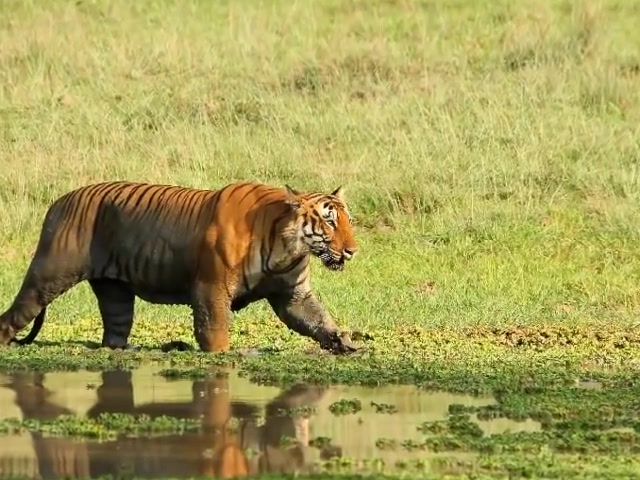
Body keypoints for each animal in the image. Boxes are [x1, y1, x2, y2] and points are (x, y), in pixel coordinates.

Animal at [0, 180, 360, 354]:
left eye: (348, 222)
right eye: (329, 222)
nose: (353, 251)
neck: (287, 247)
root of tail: (57, 201)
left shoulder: (293, 295)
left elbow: (317, 319)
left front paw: (344, 342)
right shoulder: (211, 289)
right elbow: (214, 329)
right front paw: (222, 356)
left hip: (115, 293)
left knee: (115, 328)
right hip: (48, 275)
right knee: (16, 313)